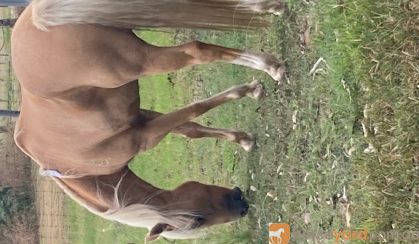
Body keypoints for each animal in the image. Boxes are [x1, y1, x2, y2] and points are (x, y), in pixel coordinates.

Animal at [10, 0, 286, 240]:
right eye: (196, 221)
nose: (241, 203)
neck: (78, 166)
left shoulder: (144, 135)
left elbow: (194, 111)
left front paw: (249, 90)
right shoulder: (141, 121)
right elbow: (191, 128)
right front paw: (244, 138)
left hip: (141, 59)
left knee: (197, 51)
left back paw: (270, 64)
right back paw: (269, 12)